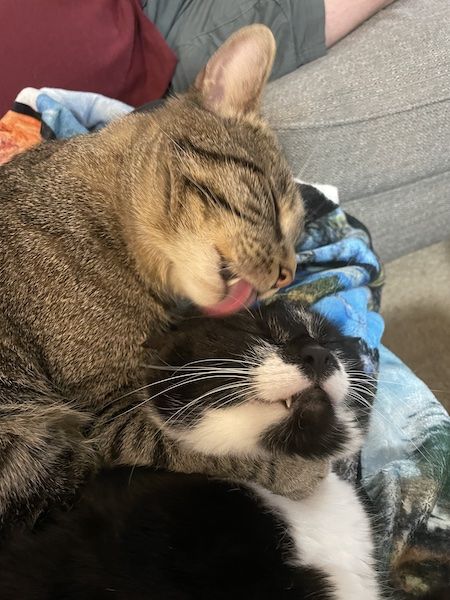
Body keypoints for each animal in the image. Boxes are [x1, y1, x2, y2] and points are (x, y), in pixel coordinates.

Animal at [0, 23, 326, 532]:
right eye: (274, 206)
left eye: (298, 238)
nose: (286, 273)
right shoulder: (106, 410)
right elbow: (192, 446)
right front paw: (296, 466)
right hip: (31, 439)